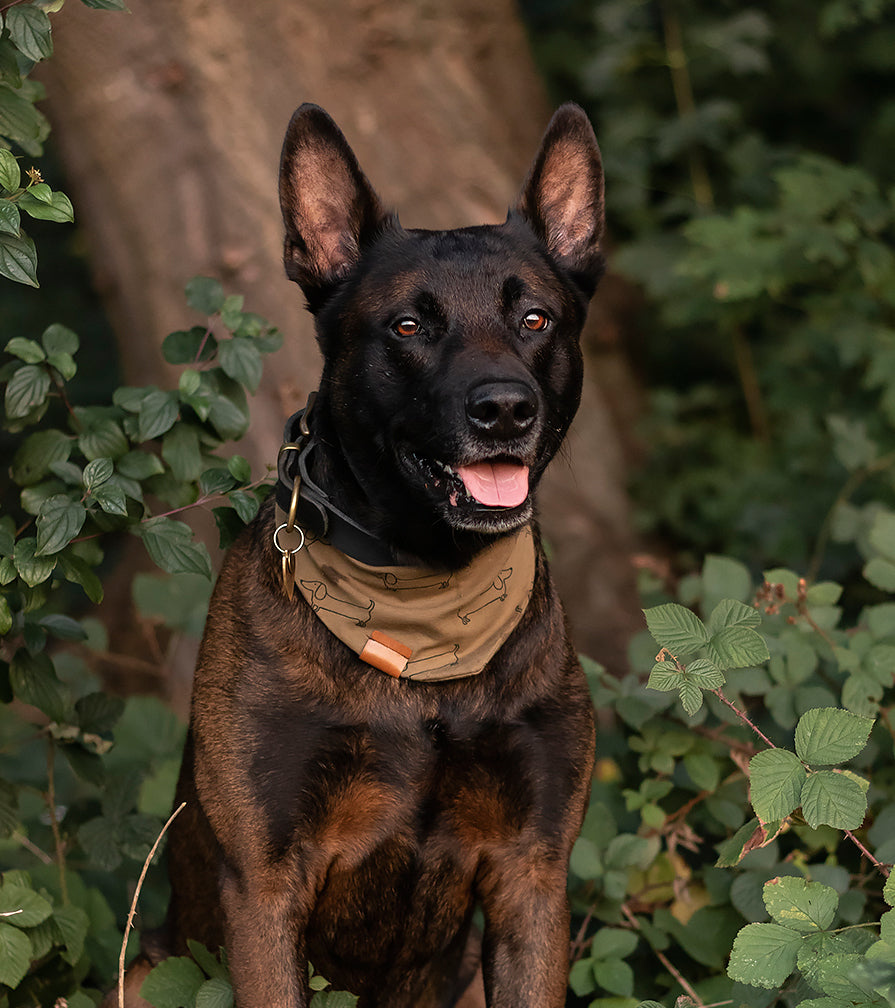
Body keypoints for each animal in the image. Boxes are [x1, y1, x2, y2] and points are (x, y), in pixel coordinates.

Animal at [135, 102, 604, 1008]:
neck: (426, 591)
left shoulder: (531, 872)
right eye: (409, 326)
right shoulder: (265, 882)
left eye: (534, 320)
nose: (504, 410)